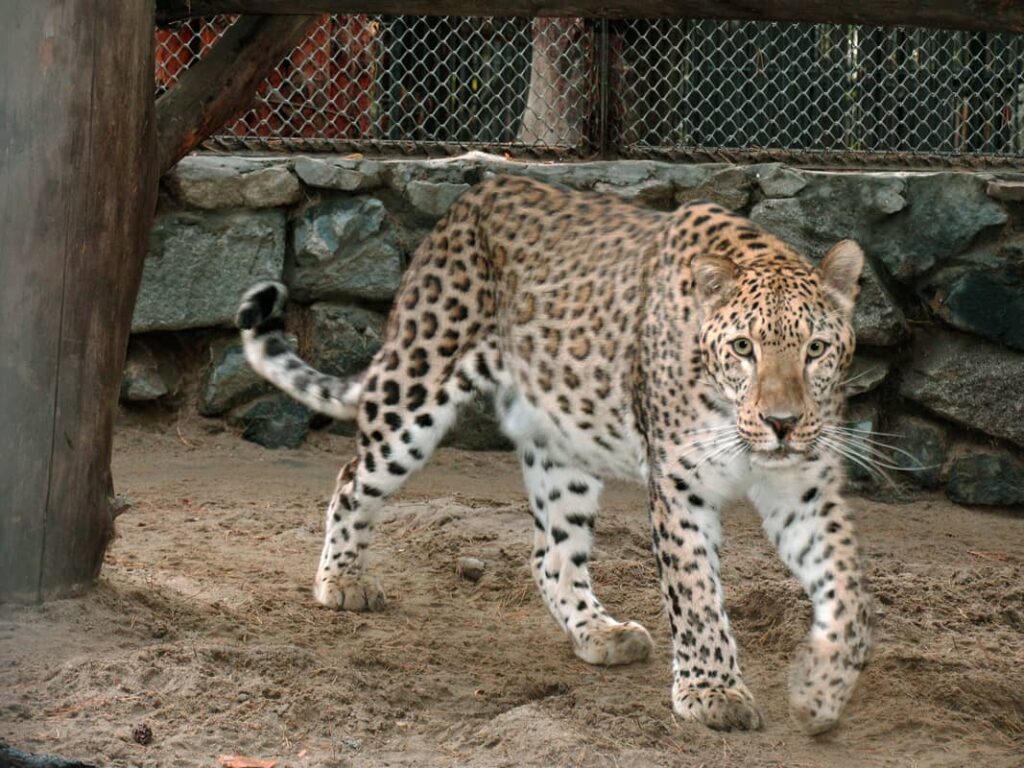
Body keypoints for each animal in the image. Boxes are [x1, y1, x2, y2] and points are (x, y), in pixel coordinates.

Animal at [236, 174, 873, 734]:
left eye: (816, 349)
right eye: (743, 348)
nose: (781, 424)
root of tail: (474, 195)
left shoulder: (806, 489)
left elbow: (848, 590)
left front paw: (823, 685)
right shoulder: (680, 486)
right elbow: (695, 595)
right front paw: (711, 691)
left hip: (564, 438)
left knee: (550, 553)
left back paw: (598, 632)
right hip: (416, 387)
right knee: (352, 477)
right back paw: (341, 581)